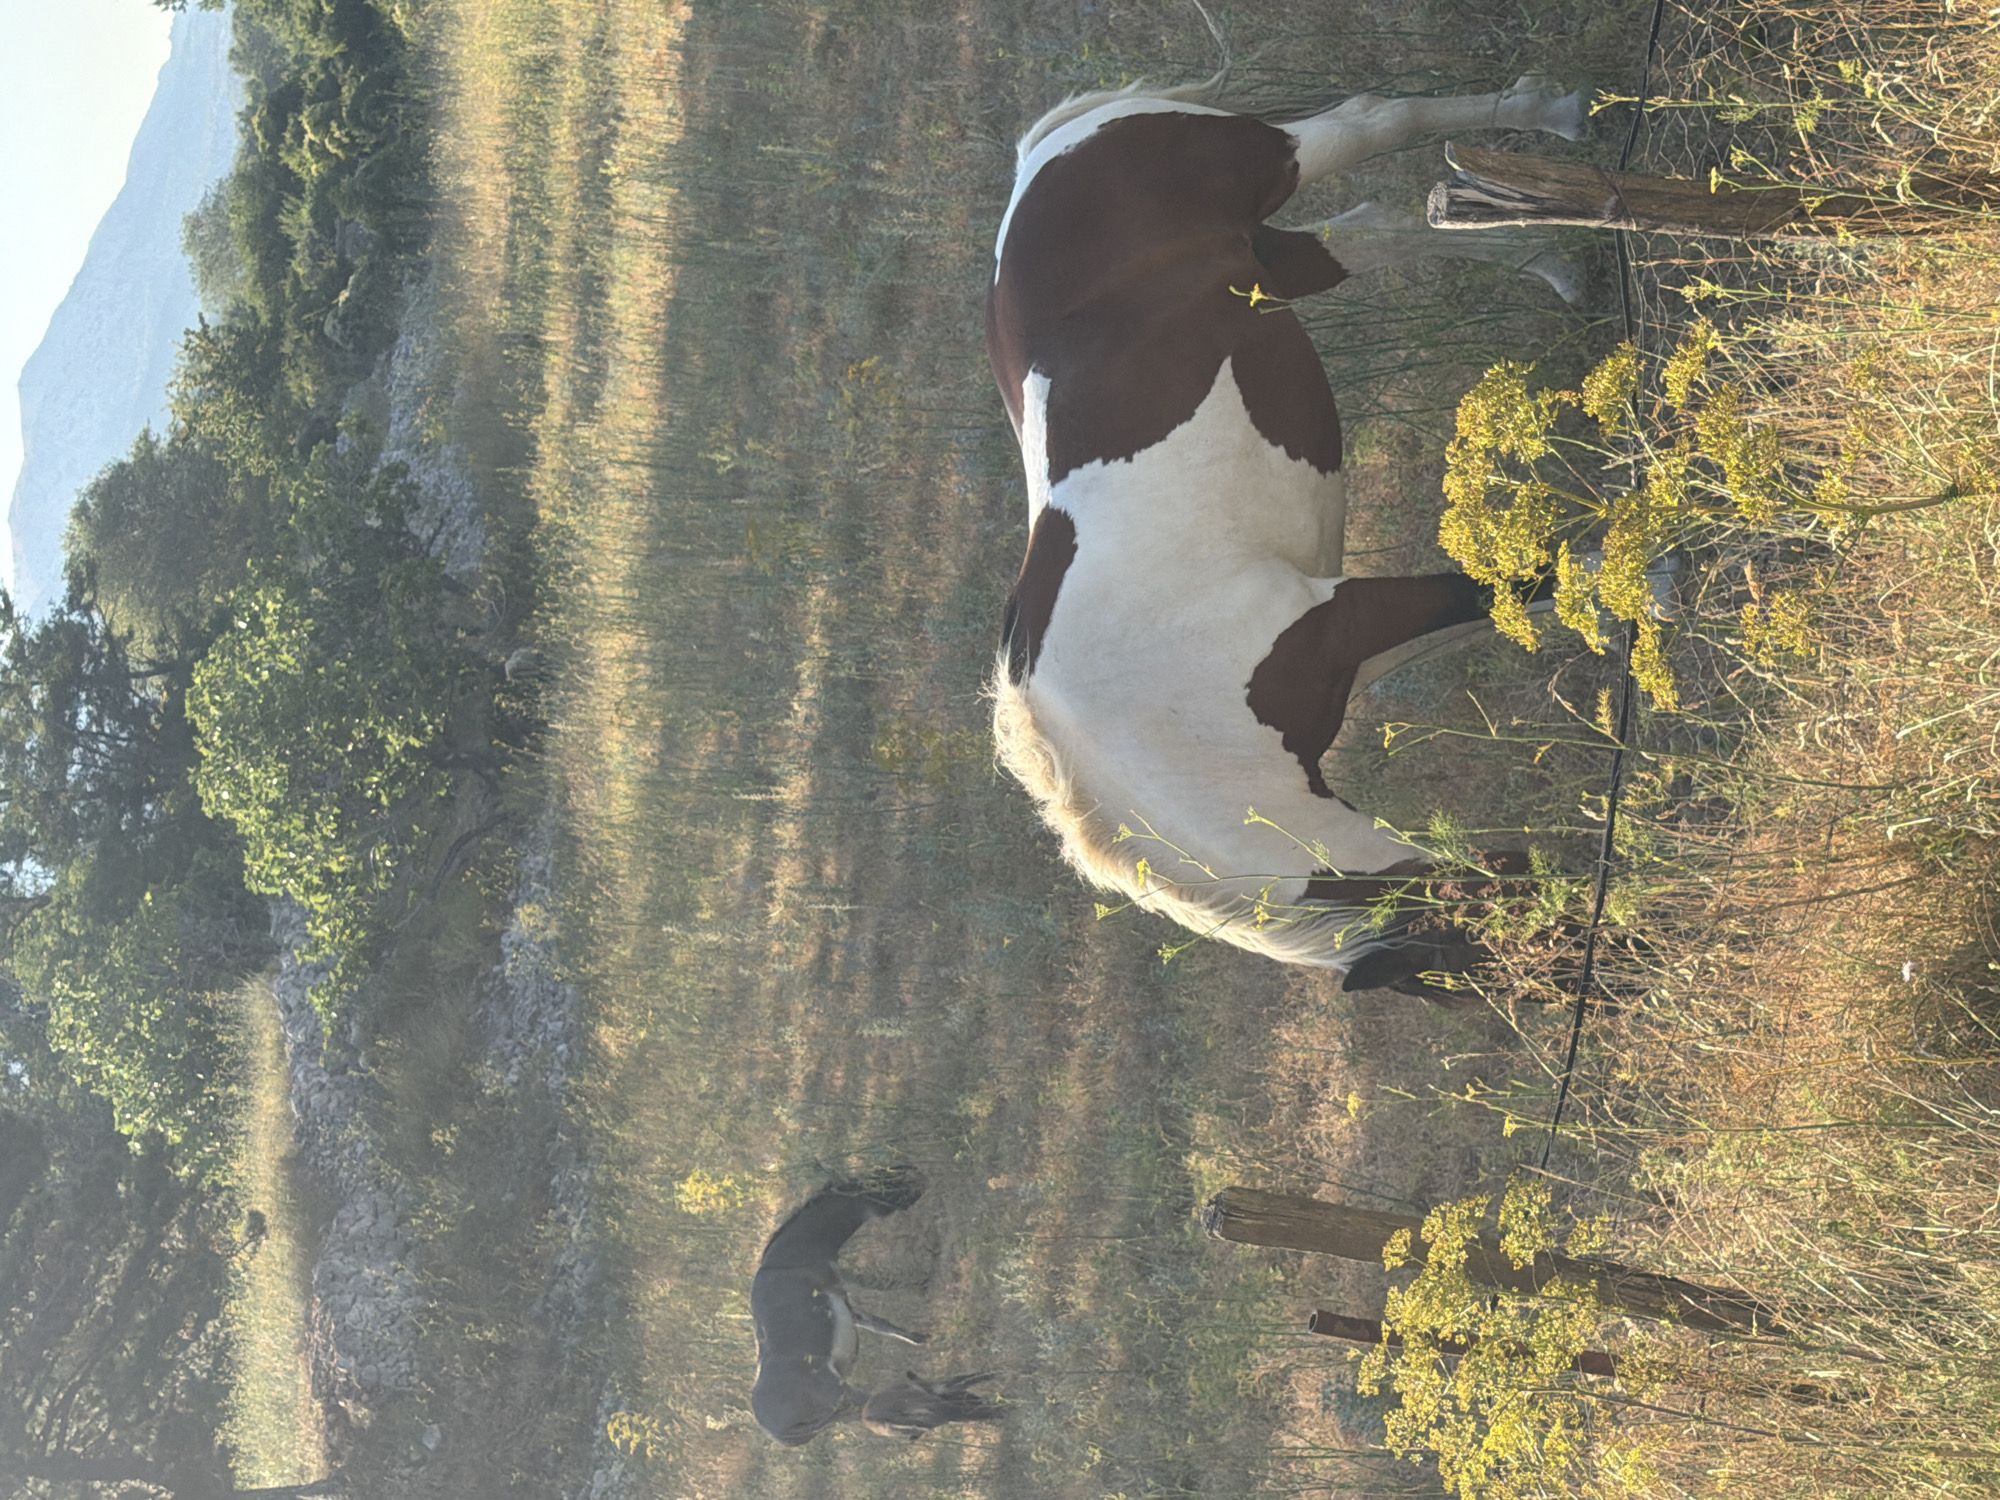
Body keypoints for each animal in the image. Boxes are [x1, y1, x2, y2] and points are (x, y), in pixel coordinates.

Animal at [988, 75, 1589, 995]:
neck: (1163, 732)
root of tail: (1041, 164)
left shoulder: (1345, 616)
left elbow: (1499, 588)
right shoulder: (1351, 645)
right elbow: (1492, 606)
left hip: (1278, 165)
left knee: (1378, 122)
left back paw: (1549, 116)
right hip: (1274, 263)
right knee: (1369, 233)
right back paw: (1551, 254)